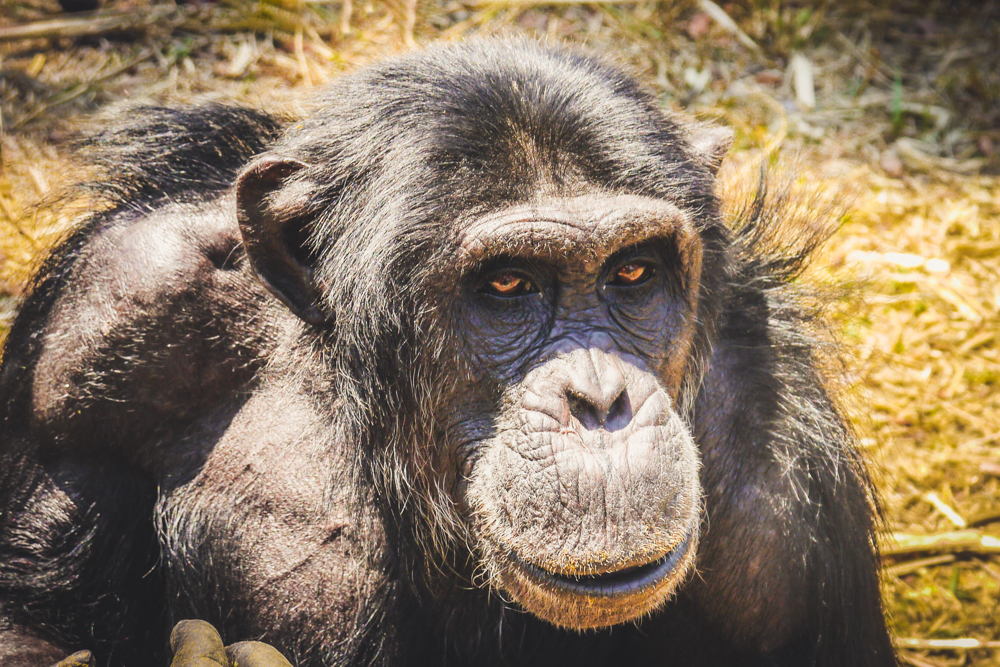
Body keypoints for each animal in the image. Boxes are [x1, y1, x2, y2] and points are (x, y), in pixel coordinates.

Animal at [0, 37, 900, 667]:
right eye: (507, 285)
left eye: (633, 273)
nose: (599, 399)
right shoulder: (109, 319)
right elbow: (32, 623)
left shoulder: (781, 503)